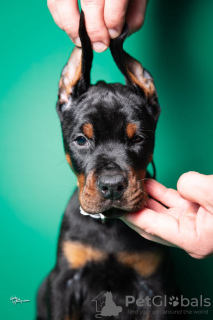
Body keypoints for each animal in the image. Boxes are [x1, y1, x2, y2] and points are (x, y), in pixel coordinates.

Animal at [37, 13, 178, 320]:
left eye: (138, 139)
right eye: (81, 140)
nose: (112, 186)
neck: (109, 226)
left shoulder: (156, 287)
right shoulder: (63, 281)